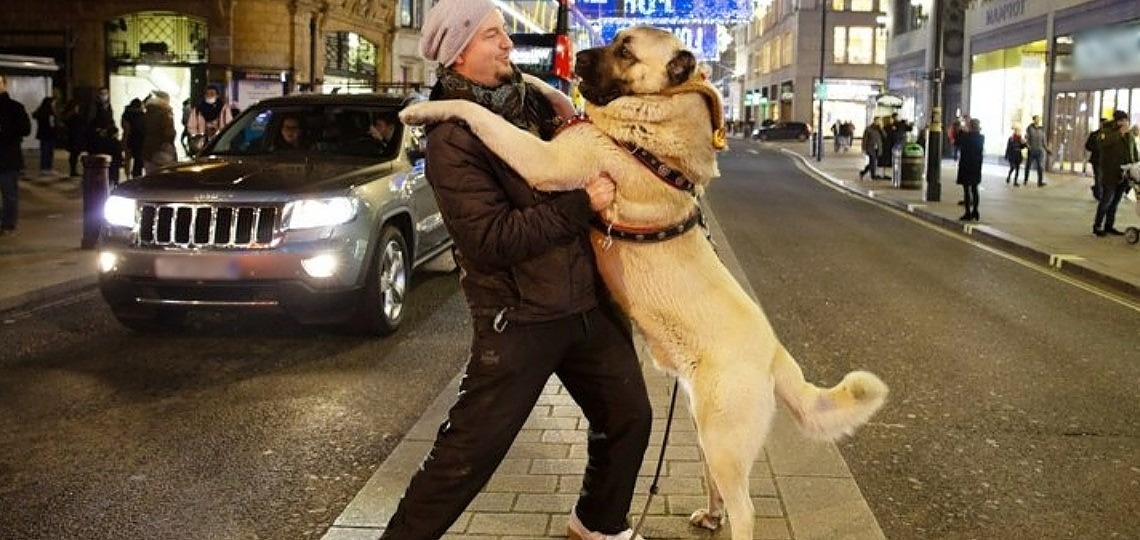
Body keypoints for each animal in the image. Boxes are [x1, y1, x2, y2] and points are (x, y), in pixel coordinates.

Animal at [401, 26, 889, 540]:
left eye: (626, 52)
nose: (580, 56)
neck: (655, 115)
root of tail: (777, 356)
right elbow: (557, 99)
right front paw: (533, 82)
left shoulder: (546, 160)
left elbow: (483, 117)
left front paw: (424, 110)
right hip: (704, 428)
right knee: (716, 486)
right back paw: (709, 515)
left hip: (725, 439)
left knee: (746, 508)